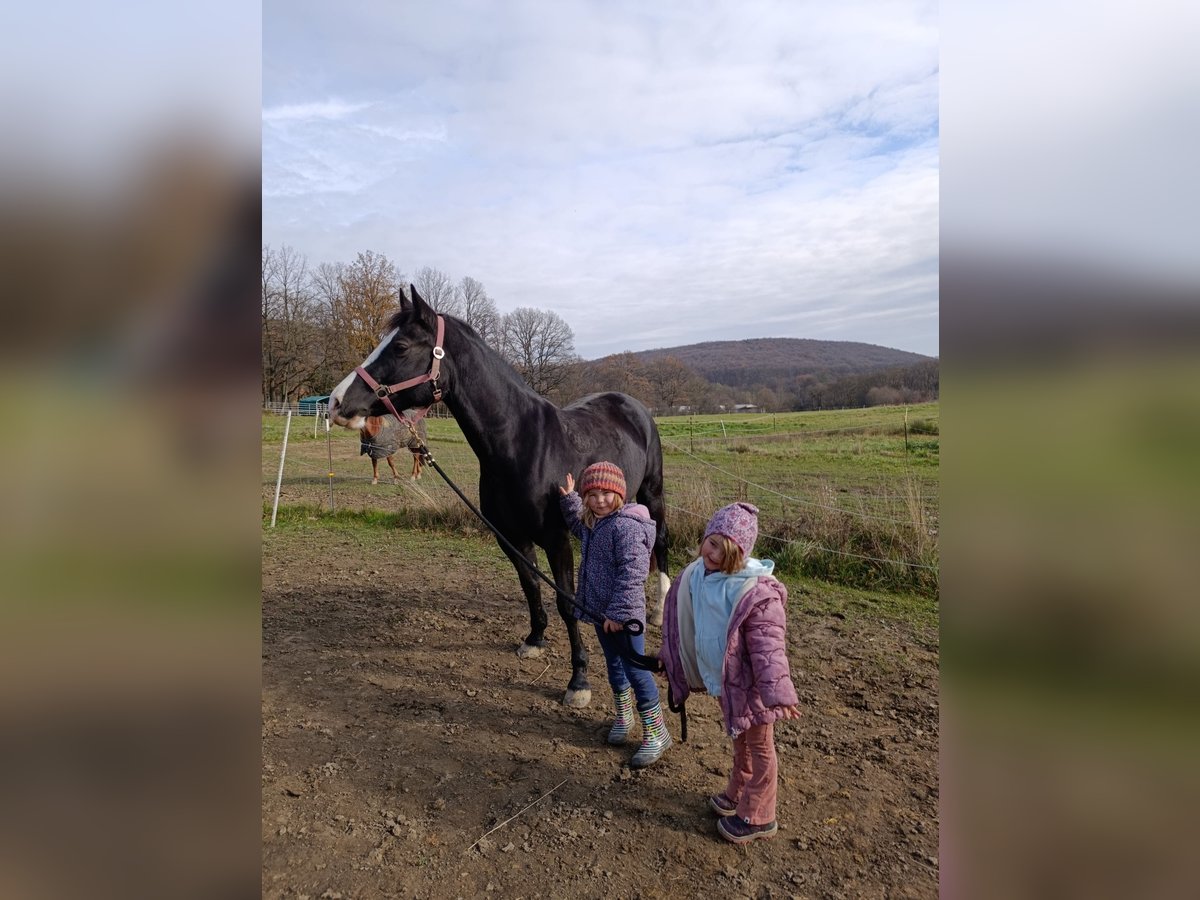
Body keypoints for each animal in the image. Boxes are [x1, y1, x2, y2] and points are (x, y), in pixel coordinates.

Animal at [327, 285, 670, 708]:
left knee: (662, 542)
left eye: (402, 346)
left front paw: (578, 681)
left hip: (653, 491)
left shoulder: (557, 539)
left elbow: (566, 603)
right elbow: (531, 585)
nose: (336, 402)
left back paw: (659, 610)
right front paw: (535, 641)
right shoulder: (510, 536)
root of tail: (632, 404)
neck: (521, 445)